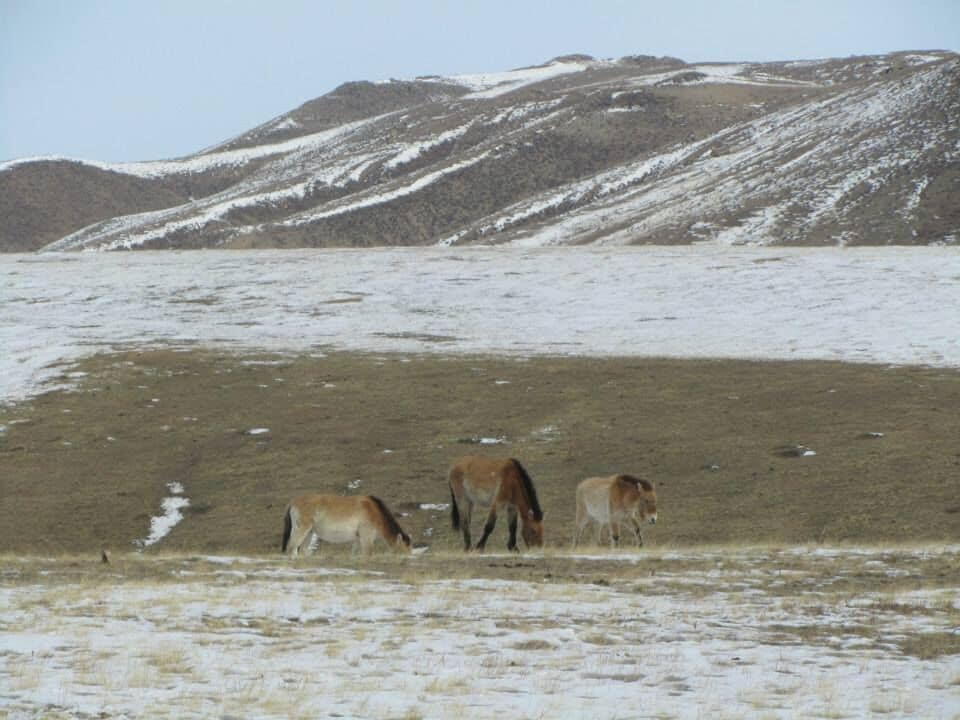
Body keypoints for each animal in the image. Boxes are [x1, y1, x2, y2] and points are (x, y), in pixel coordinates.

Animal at [281, 494, 411, 556]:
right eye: (403, 550)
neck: (375, 511)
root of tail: (293, 502)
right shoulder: (366, 536)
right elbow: (368, 552)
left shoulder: (358, 538)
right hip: (301, 529)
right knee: (292, 547)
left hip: (309, 533)